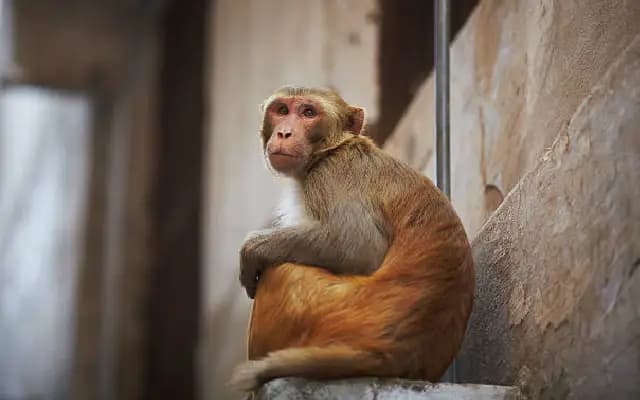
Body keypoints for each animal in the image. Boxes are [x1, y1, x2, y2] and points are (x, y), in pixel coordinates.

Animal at [231, 86, 474, 392]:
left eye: (308, 112)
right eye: (282, 110)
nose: (284, 133)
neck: (330, 150)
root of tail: (387, 354)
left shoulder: (332, 174)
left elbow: (357, 246)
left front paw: (251, 250)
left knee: (281, 270)